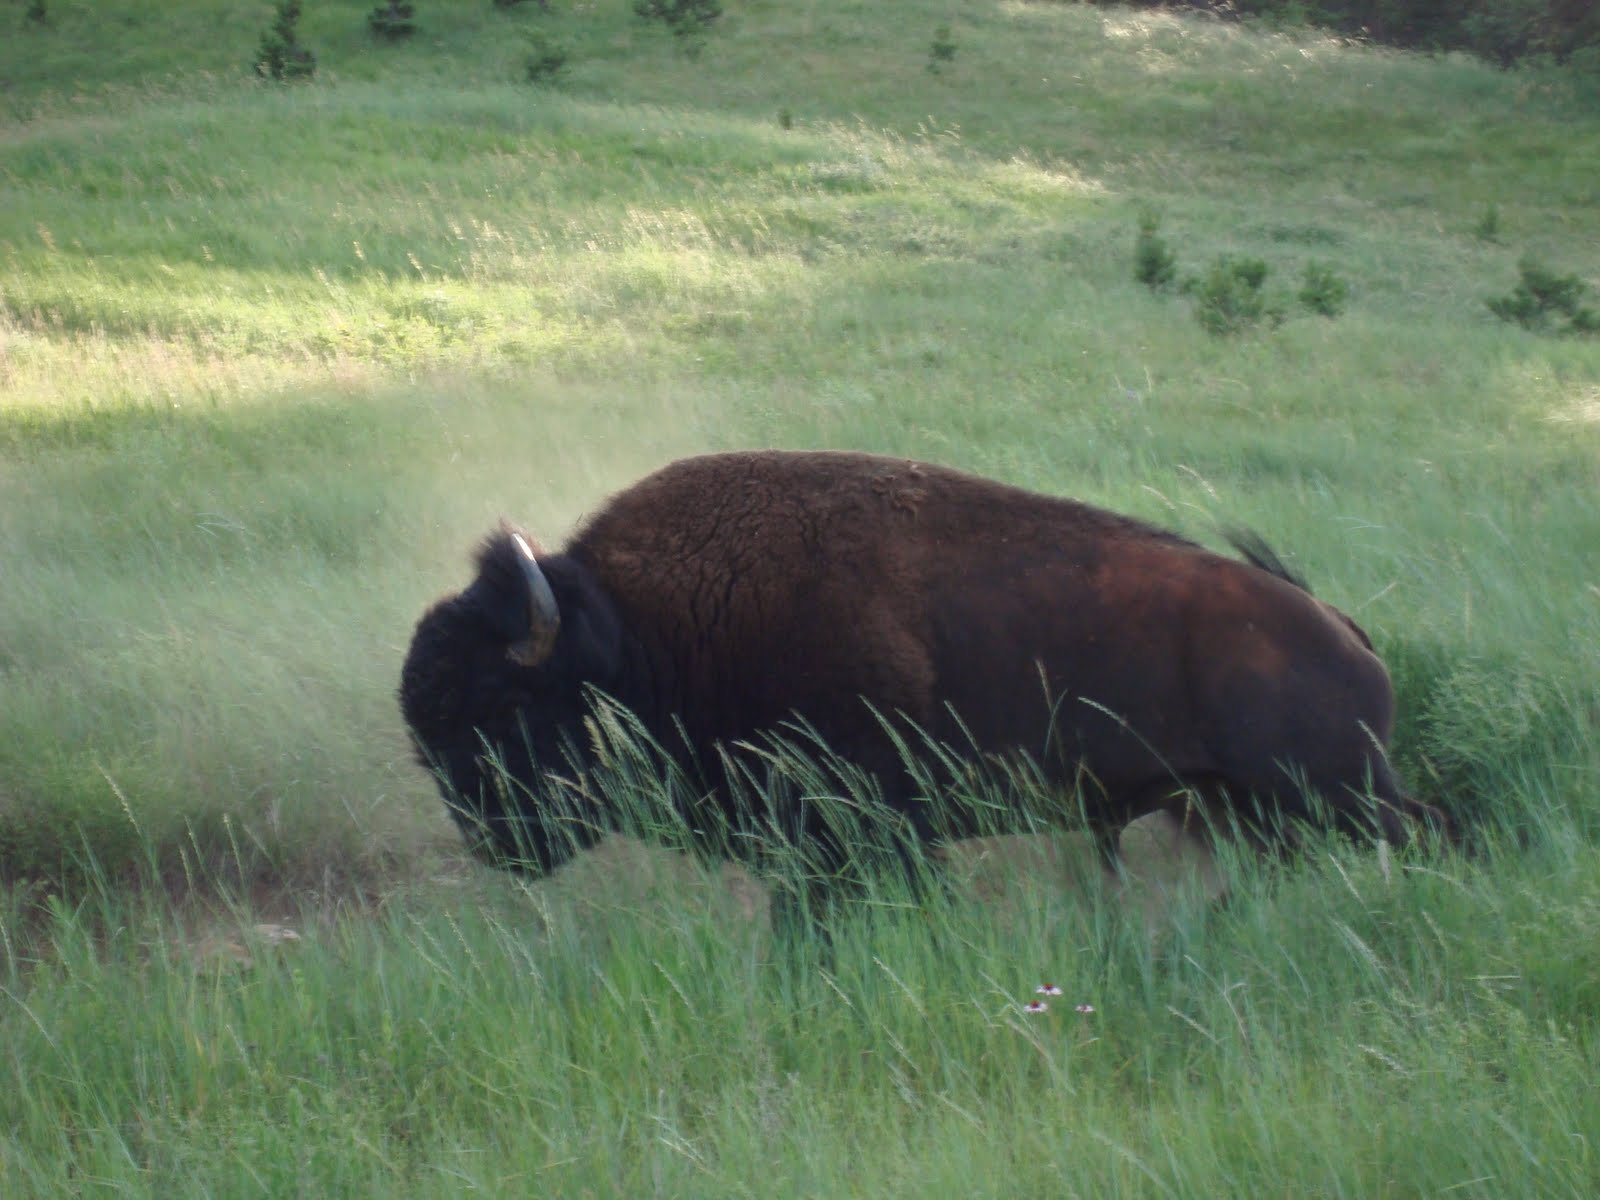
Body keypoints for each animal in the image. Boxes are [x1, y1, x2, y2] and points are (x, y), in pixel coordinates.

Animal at [396, 454, 1440, 915]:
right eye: (426, 734)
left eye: (502, 708)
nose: (494, 844)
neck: (640, 631)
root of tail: (1345, 630)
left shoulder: (864, 828)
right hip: (1244, 811)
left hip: (1334, 795)